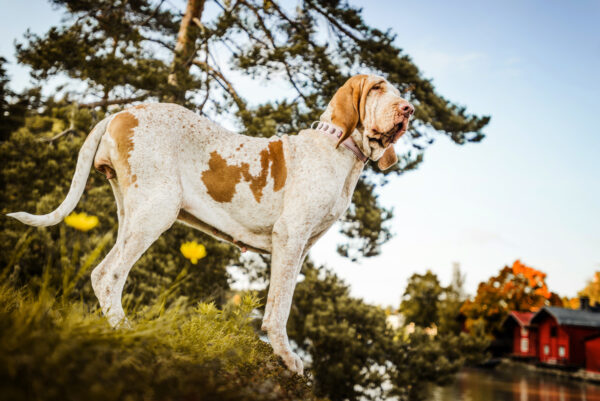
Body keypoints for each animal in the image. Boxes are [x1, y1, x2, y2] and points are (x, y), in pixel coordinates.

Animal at [7, 74, 412, 372]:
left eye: (396, 92)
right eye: (377, 88)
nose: (407, 109)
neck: (340, 151)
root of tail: (121, 113)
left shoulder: (300, 250)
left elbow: (280, 301)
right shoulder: (290, 238)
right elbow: (279, 308)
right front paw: (285, 355)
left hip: (132, 214)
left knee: (106, 272)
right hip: (156, 211)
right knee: (107, 274)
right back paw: (126, 331)